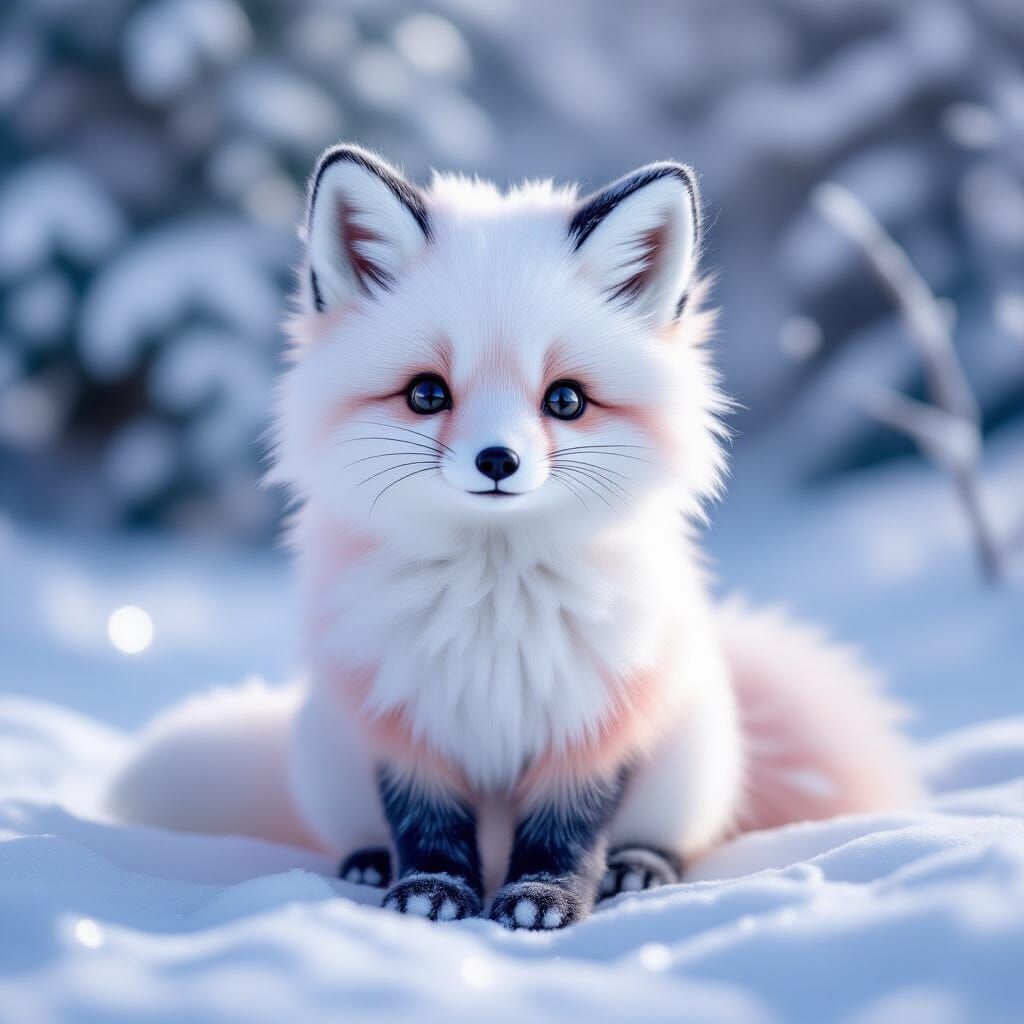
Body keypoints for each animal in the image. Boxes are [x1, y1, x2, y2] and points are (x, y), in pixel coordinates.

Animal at [107, 145, 922, 930]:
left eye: (565, 401)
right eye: (426, 393)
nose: (497, 461)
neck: (493, 607)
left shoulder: (593, 720)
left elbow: (566, 835)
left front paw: (542, 903)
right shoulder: (406, 721)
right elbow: (428, 831)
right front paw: (430, 896)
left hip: (691, 765)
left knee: (669, 839)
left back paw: (638, 868)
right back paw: (368, 864)